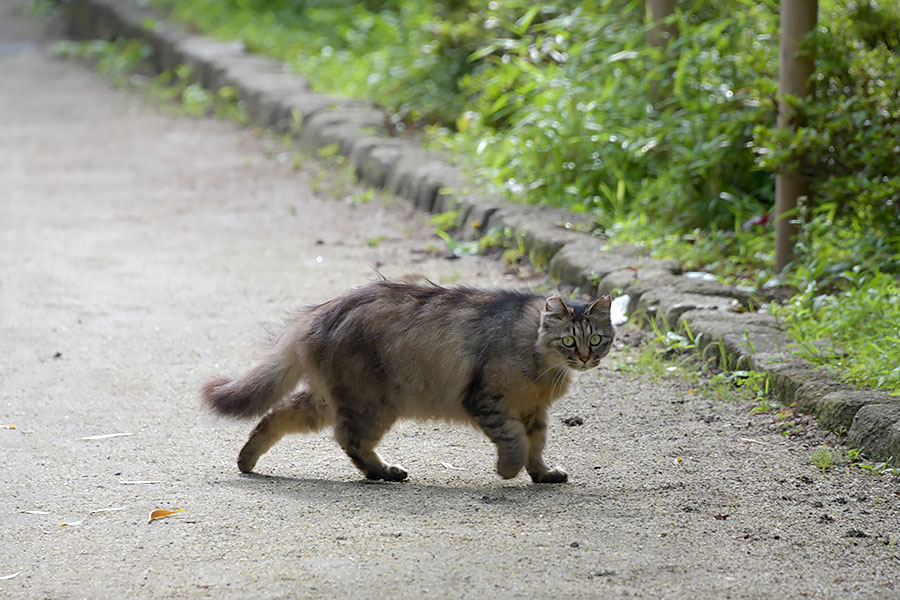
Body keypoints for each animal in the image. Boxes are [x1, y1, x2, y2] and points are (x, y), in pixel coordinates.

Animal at [202, 280, 612, 482]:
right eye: (569, 341)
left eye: (596, 339)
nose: (586, 358)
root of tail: (322, 311)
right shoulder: (489, 401)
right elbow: (515, 441)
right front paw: (509, 469)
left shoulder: (534, 411)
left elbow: (536, 446)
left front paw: (542, 474)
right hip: (372, 402)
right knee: (348, 439)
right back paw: (383, 472)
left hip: (333, 399)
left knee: (278, 416)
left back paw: (247, 459)